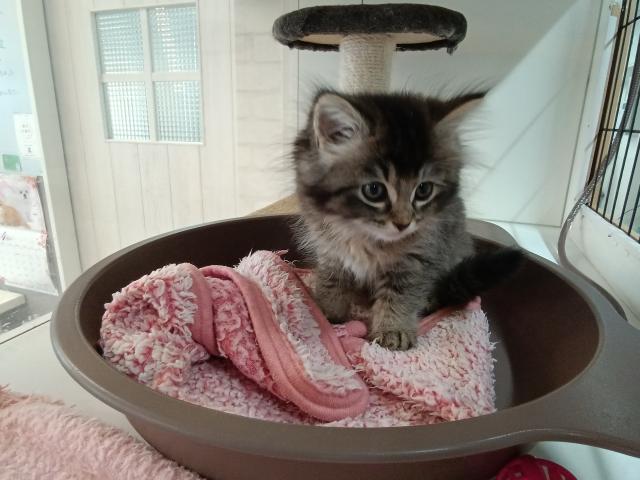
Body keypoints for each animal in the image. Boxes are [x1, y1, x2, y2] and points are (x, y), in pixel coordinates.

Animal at [292, 90, 522, 351]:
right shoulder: (330, 252)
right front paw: (325, 314)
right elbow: (331, 285)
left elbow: (400, 296)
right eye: (374, 190)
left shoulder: (417, 259)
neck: (363, 235)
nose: (403, 224)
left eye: (423, 190)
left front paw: (393, 331)